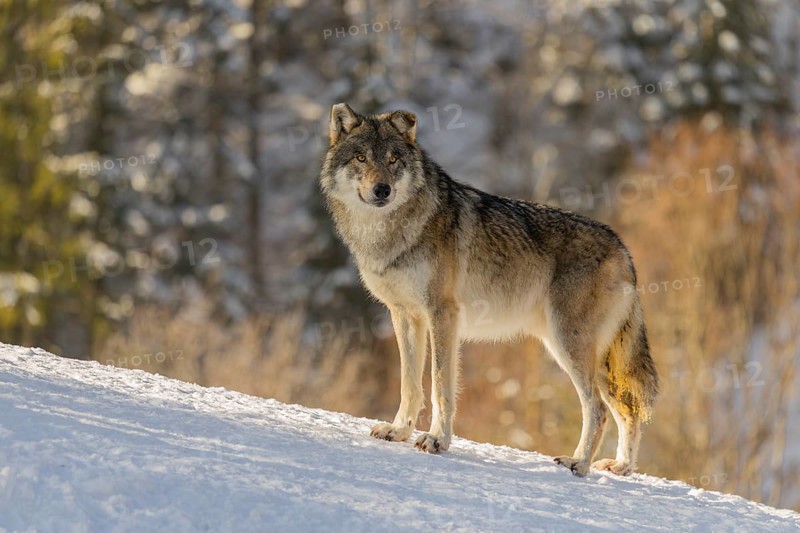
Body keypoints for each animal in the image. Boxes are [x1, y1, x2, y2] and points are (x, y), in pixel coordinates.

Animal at [320, 103, 659, 476]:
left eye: (393, 159)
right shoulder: (405, 315)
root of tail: (623, 249)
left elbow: (440, 386)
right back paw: (621, 466)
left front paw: (436, 440)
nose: (382, 190)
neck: (388, 233)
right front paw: (398, 431)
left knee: (597, 408)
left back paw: (579, 464)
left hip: (569, 346)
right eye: (361, 157)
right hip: (587, 356)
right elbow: (409, 384)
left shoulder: (442, 314)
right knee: (627, 408)